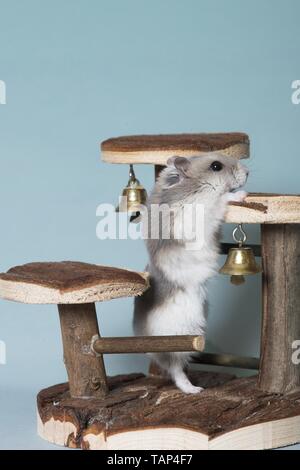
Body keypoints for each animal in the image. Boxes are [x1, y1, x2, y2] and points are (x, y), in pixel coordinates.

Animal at [134, 154, 248, 392]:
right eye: (216, 166)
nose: (248, 172)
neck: (195, 188)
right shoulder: (197, 214)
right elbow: (222, 199)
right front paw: (242, 194)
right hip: (181, 338)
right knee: (176, 370)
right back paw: (194, 390)